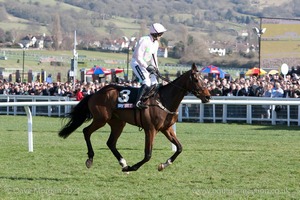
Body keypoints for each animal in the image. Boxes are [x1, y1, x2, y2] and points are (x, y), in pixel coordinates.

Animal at [57, 63, 210, 172]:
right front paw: (133, 167)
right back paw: (90, 159)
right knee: (86, 131)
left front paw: (163, 164)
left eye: (204, 79)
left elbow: (179, 148)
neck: (164, 99)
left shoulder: (166, 129)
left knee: (110, 142)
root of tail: (95, 93)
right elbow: (148, 155)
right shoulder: (151, 129)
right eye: (196, 79)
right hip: (101, 119)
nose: (208, 96)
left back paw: (123, 162)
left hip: (118, 123)